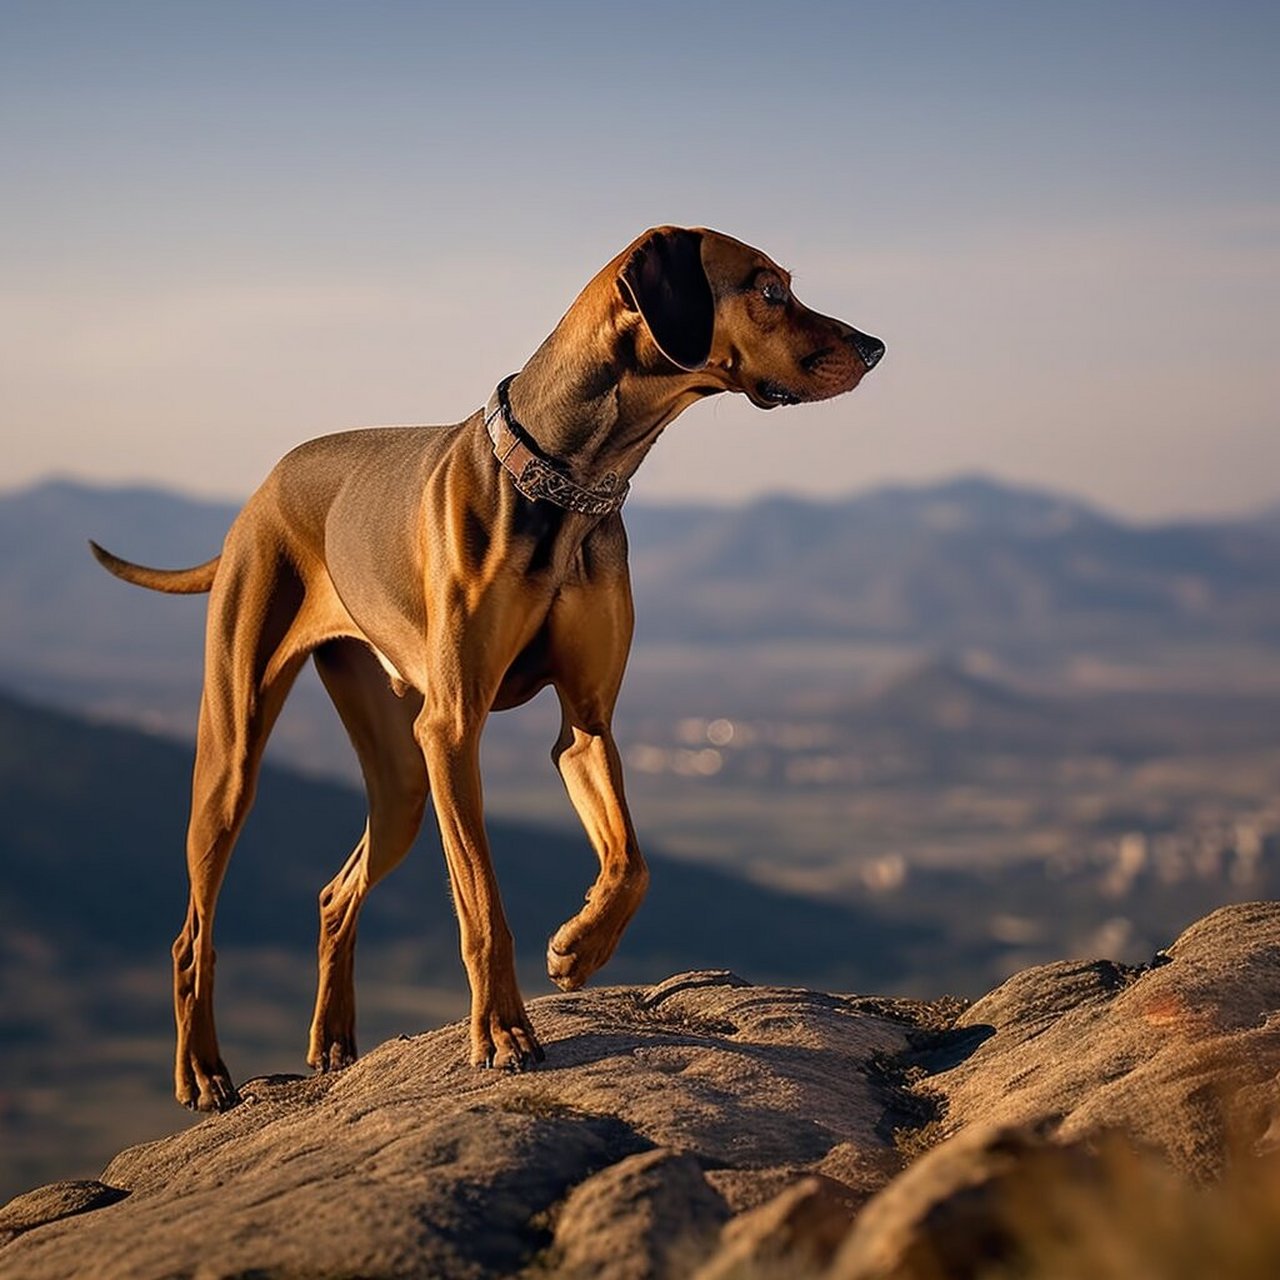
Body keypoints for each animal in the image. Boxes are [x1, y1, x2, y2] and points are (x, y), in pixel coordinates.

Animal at [94, 225, 885, 1105]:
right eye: (768, 289)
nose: (875, 346)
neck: (570, 479)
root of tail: (260, 493)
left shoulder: (585, 725)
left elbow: (633, 863)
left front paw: (579, 945)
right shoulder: (452, 731)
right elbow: (482, 904)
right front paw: (504, 1030)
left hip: (402, 784)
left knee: (336, 892)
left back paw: (333, 1040)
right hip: (237, 758)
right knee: (190, 935)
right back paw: (202, 1071)